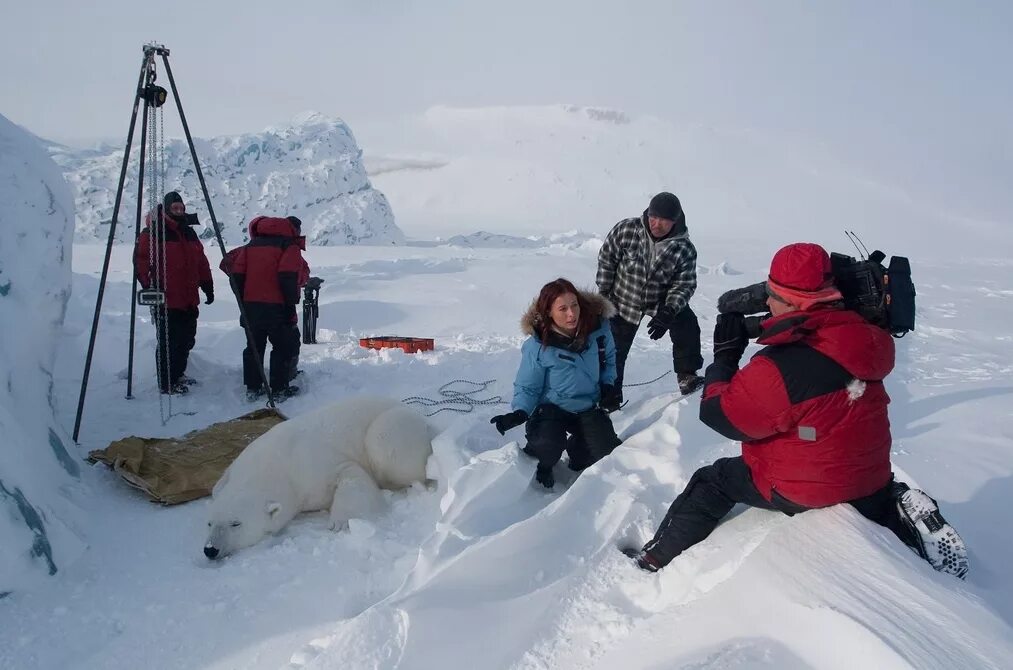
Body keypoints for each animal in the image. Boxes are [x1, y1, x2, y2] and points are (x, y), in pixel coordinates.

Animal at [201, 395, 431, 555]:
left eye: (235, 523)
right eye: (210, 523)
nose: (210, 550)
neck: (272, 466)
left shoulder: (312, 464)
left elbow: (351, 473)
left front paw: (340, 523)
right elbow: (217, 487)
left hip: (392, 428)